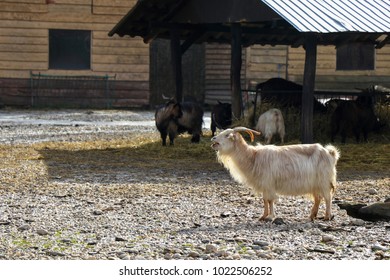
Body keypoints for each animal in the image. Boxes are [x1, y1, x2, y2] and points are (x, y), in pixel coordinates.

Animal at [212, 127, 340, 221]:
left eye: (227, 135)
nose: (213, 139)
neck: (253, 157)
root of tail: (330, 153)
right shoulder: (265, 185)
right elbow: (265, 200)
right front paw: (263, 216)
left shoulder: (268, 183)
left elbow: (270, 200)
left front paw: (270, 216)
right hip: (315, 184)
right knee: (318, 198)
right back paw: (312, 215)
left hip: (324, 181)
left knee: (328, 198)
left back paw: (327, 216)